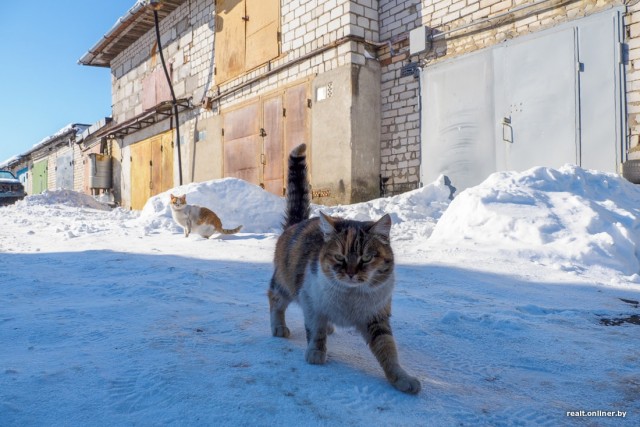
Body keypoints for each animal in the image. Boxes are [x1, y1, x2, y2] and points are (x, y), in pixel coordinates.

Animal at [268, 143, 422, 394]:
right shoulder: (312, 302)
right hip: (285, 283)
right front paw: (316, 353)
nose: (350, 272)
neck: (350, 296)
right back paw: (279, 327)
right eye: (339, 257)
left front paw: (401, 378)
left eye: (366, 258)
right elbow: (316, 331)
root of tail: (297, 223)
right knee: (274, 299)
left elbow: (388, 349)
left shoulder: (376, 317)